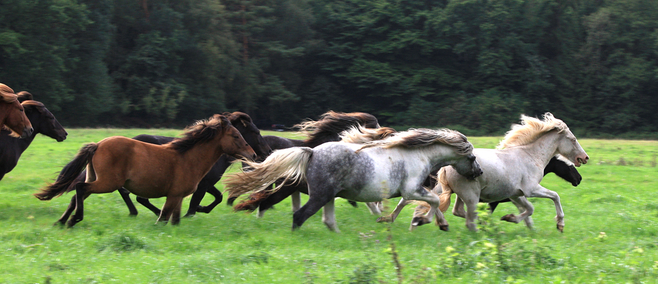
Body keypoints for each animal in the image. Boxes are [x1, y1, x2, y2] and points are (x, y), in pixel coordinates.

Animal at [34, 114, 256, 227]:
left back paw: (61, 221)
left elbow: (175, 221)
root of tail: (97, 145)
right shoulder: (174, 195)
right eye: (236, 136)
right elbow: (163, 219)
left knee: (75, 195)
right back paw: (74, 219)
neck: (188, 158)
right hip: (107, 182)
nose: (252, 154)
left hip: (95, 178)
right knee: (80, 188)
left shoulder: (178, 197)